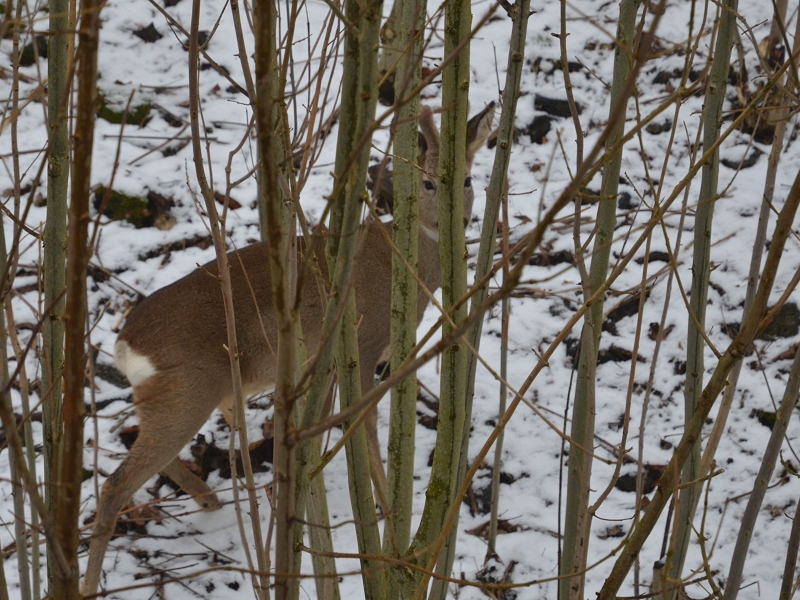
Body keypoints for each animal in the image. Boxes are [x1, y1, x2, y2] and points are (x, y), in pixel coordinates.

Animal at [81, 104, 494, 596]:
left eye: (468, 179)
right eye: (429, 183)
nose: (457, 221)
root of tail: (126, 342)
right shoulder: (362, 347)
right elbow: (366, 430)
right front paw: (388, 519)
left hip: (175, 395)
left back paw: (211, 499)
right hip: (187, 389)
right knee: (115, 485)